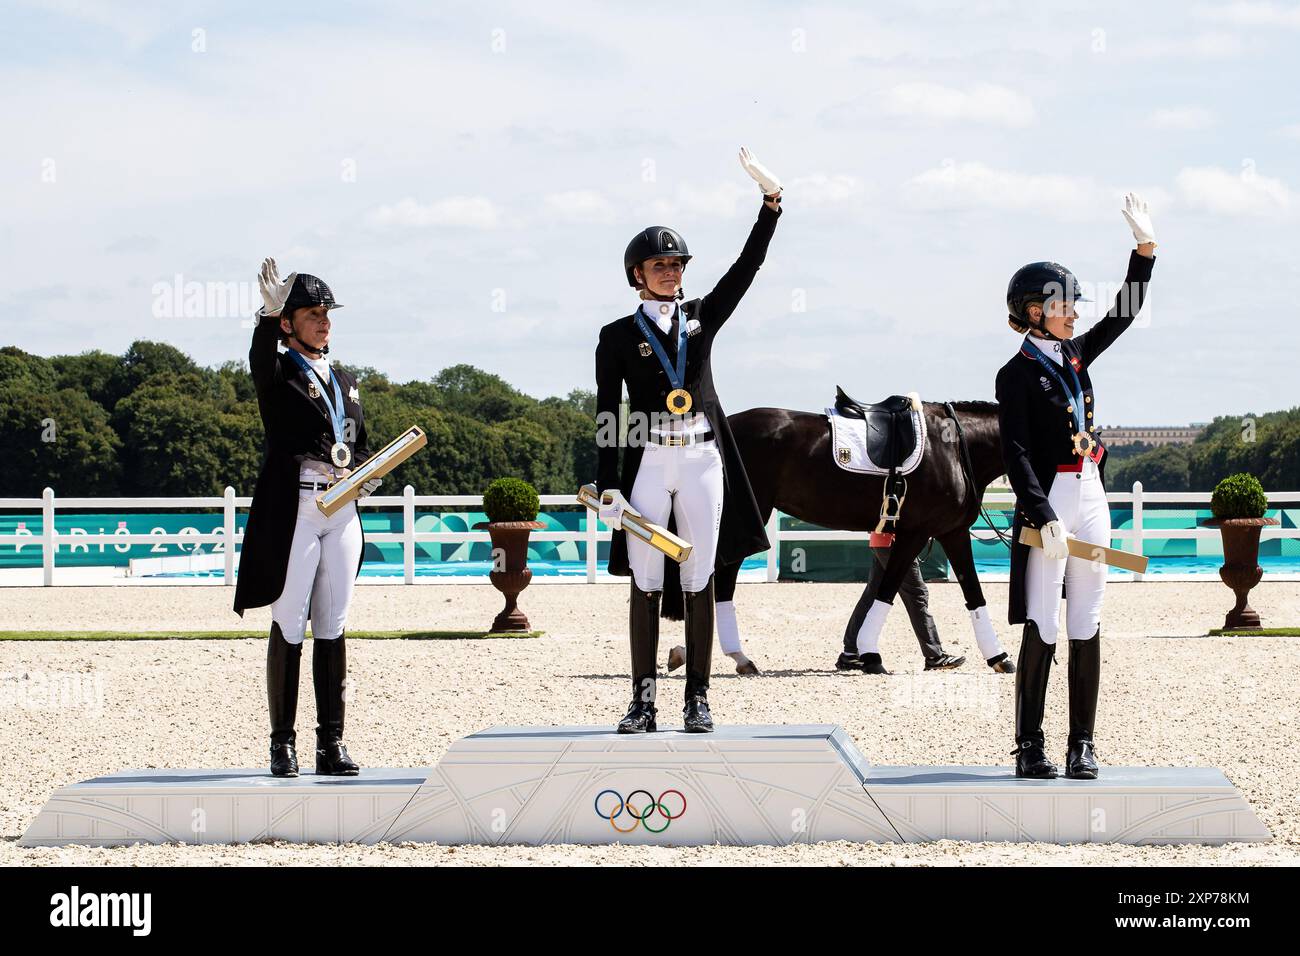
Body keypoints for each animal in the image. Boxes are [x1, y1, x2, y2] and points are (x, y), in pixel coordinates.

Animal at [665, 400, 1008, 676]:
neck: (955, 449)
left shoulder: (953, 533)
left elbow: (973, 593)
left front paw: (999, 657)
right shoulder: (915, 534)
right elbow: (888, 589)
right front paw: (870, 654)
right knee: (718, 575)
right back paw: (724, 654)